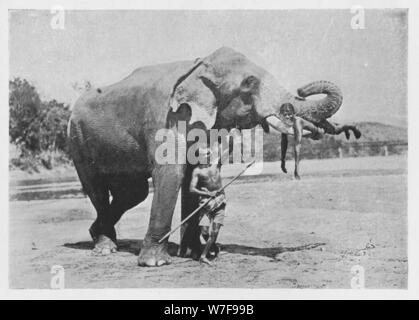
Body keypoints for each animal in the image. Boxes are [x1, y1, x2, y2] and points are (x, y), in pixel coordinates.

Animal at [67, 45, 346, 264]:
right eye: (249, 83)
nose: (302, 90)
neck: (198, 66)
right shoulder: (166, 117)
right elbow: (171, 173)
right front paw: (155, 263)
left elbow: (192, 173)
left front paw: (194, 253)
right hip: (77, 141)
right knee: (97, 187)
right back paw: (105, 248)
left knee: (135, 192)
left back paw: (99, 236)